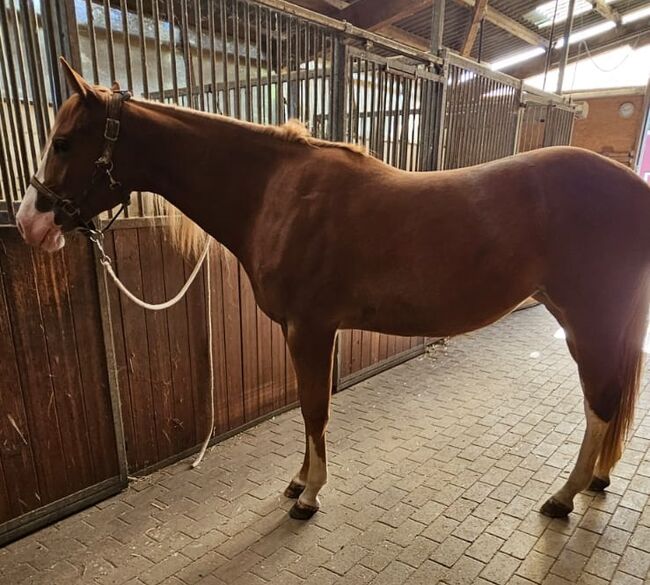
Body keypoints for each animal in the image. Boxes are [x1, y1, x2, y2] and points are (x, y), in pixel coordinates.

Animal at [13, 58, 648, 516]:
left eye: (64, 141)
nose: (28, 223)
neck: (277, 194)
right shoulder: (316, 332)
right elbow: (307, 409)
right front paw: (298, 482)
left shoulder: (309, 330)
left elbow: (314, 409)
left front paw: (311, 494)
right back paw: (595, 480)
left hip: (587, 322)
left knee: (599, 403)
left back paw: (563, 498)